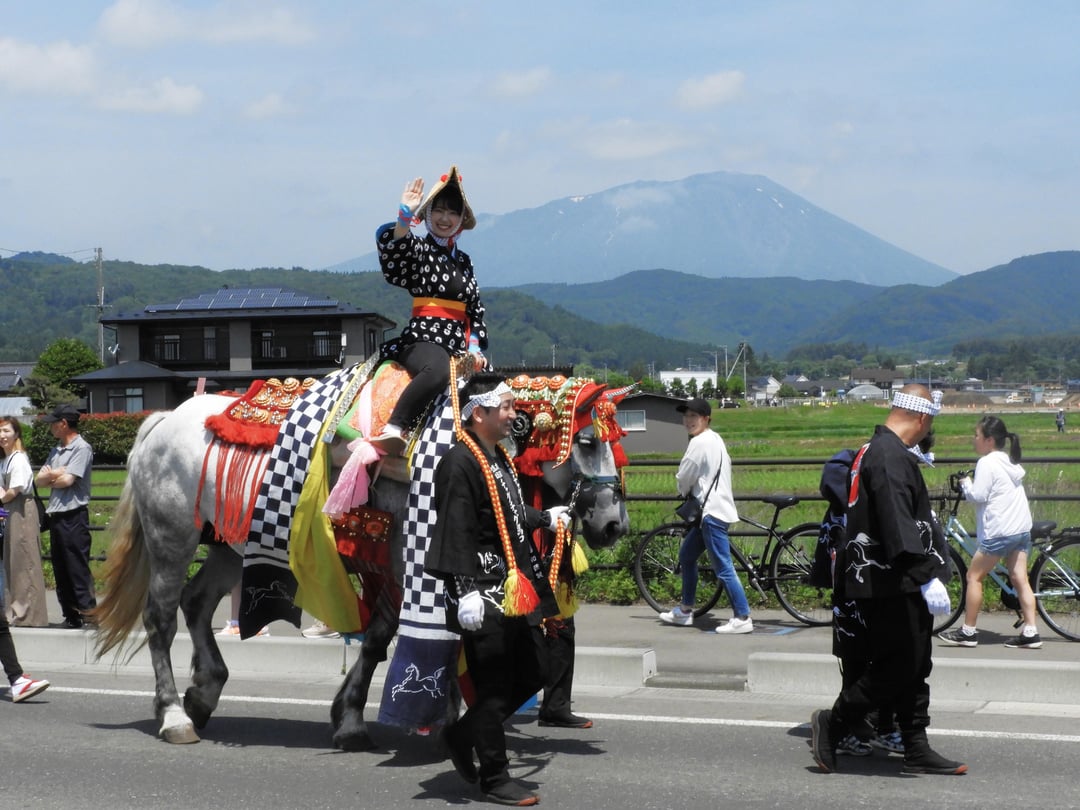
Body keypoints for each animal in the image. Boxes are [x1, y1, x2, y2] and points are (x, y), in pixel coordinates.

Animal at [92, 378, 630, 751]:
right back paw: (173, 716)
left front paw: (438, 716)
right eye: (586, 442)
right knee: (160, 618)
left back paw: (204, 694)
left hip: (230, 543)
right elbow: (382, 637)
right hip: (172, 535)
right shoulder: (407, 559)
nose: (613, 524)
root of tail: (162, 421)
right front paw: (355, 719)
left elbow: (417, 632)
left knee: (197, 603)